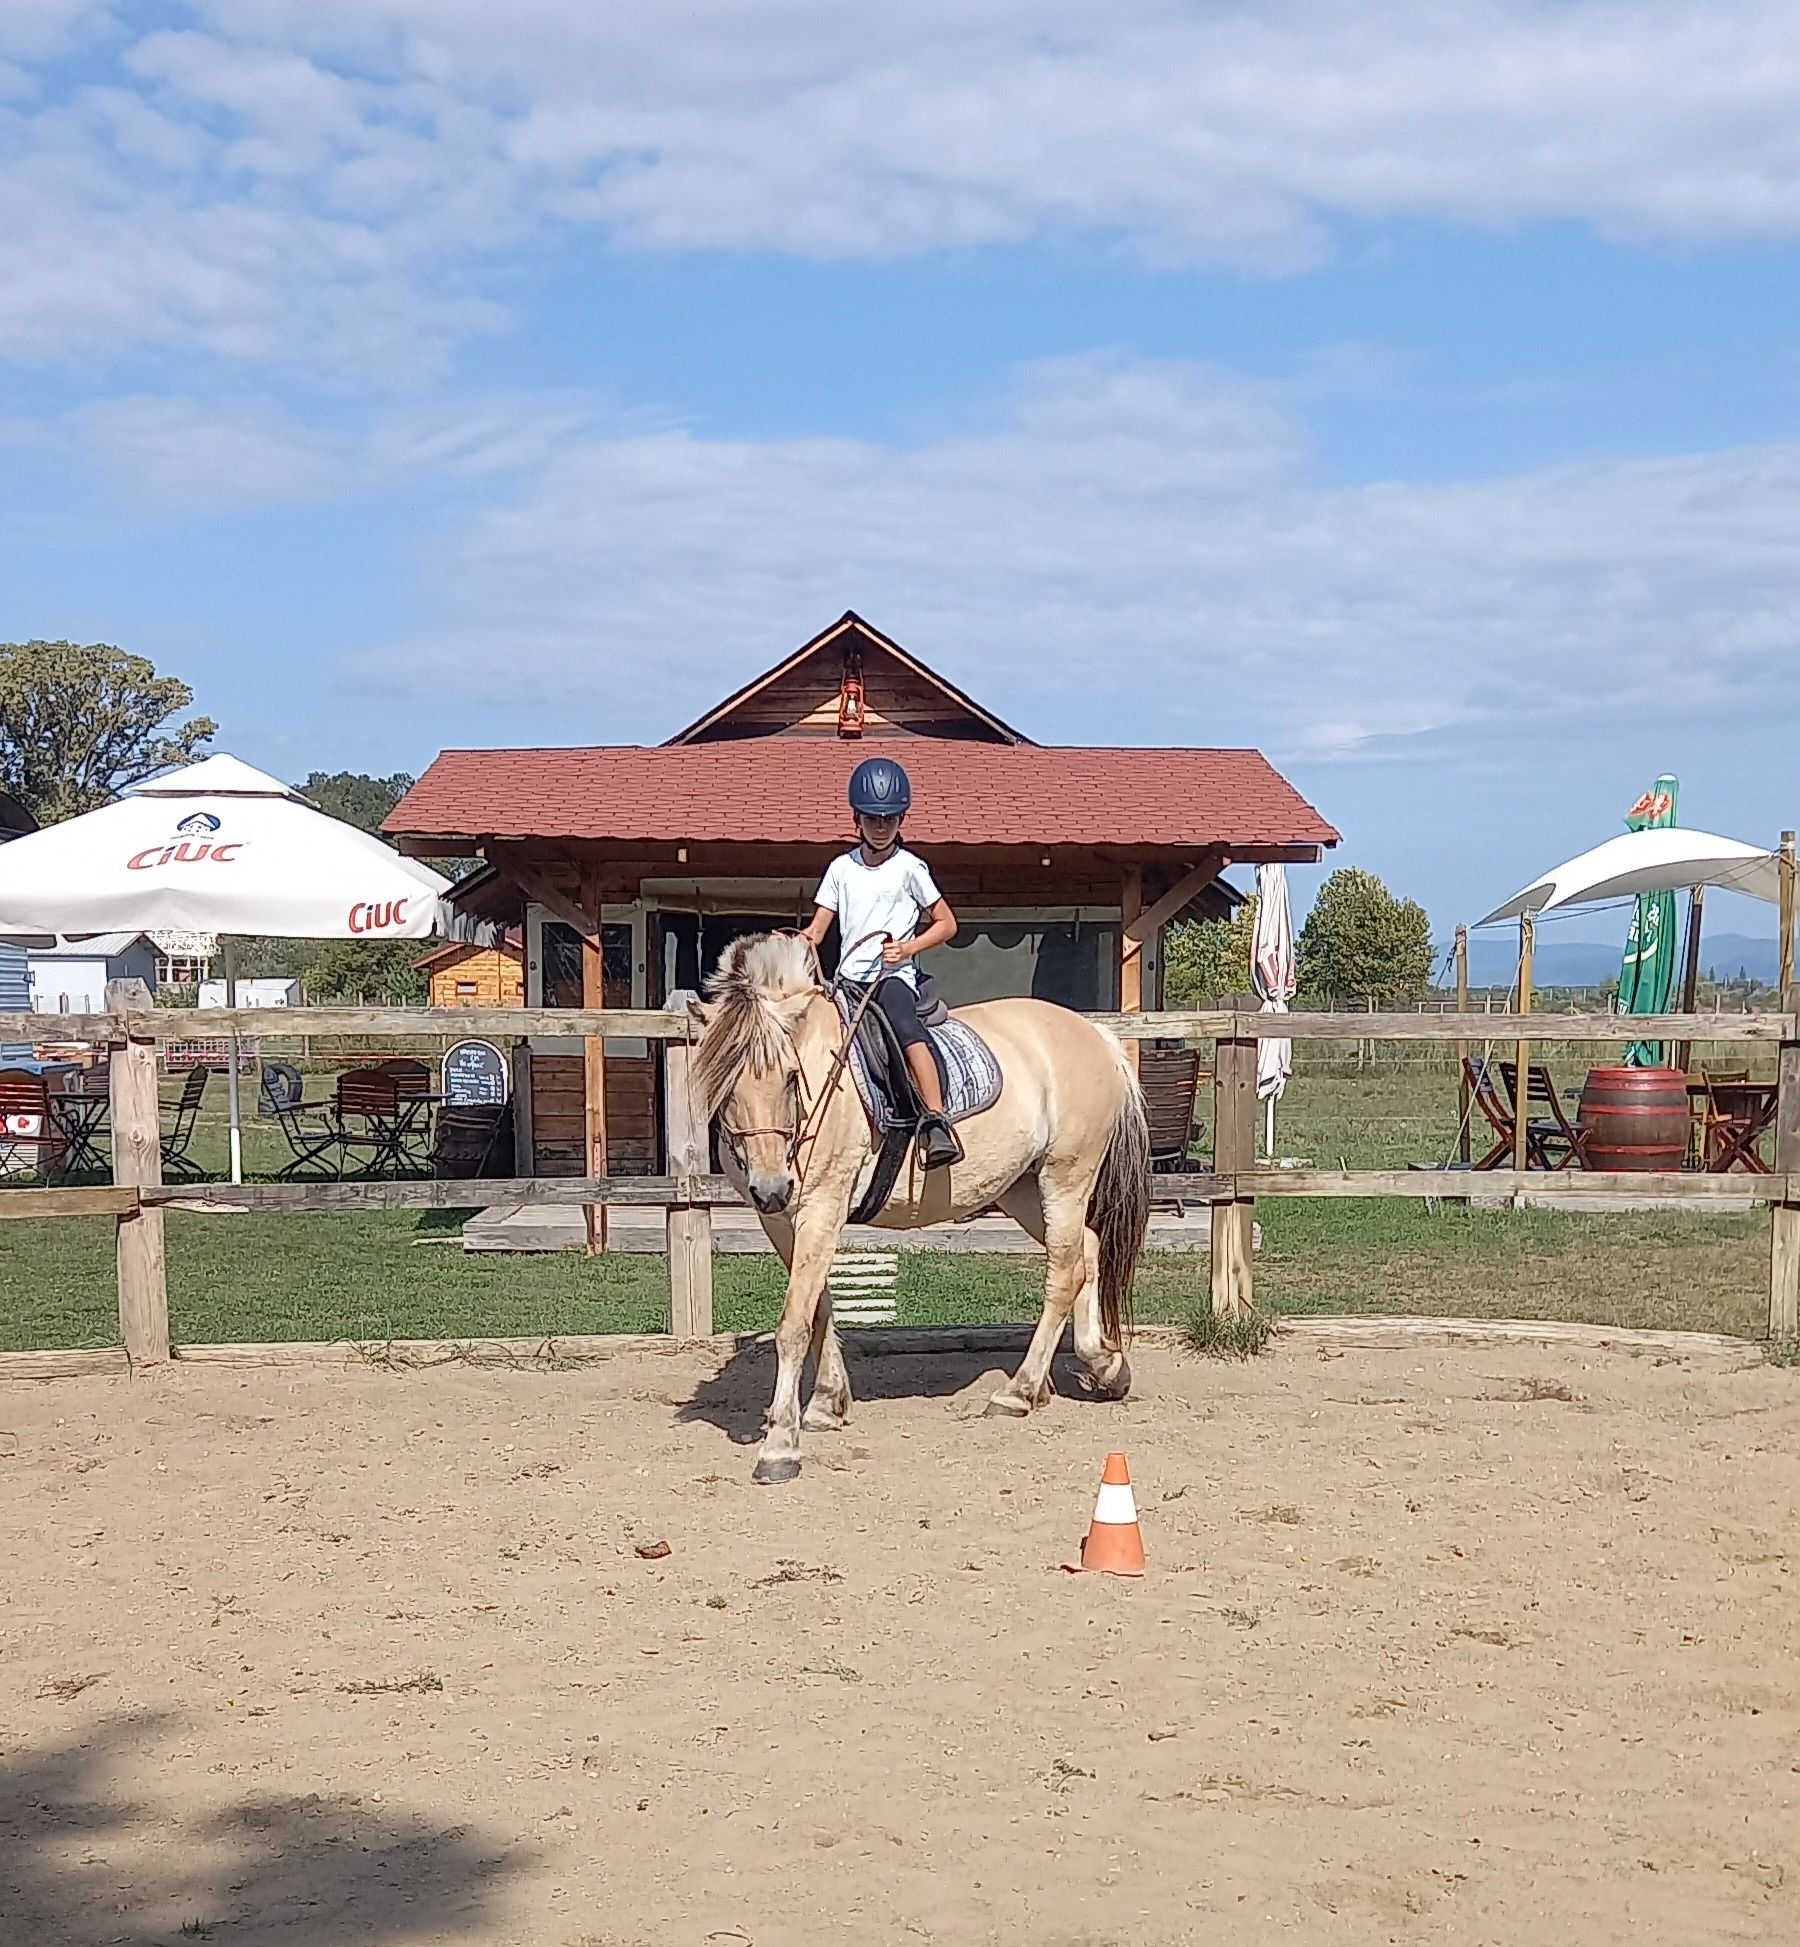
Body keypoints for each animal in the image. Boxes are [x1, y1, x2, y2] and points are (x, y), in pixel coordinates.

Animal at [697, 934, 1145, 1479]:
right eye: (726, 1083)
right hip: (1022, 1188)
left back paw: (1017, 1392)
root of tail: (1096, 1035)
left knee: (1064, 1272)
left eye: (788, 1077)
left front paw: (780, 1444)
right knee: (1088, 1252)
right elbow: (819, 1308)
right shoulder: (779, 1221)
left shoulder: (821, 1207)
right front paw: (826, 1403)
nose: (771, 1184)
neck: (824, 1080)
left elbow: (794, 1324)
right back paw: (1102, 1366)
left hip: (1066, 1176)